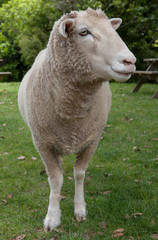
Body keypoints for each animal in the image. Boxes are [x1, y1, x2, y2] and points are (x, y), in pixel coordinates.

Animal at [17, 7, 136, 232]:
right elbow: (55, 179)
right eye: (84, 32)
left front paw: (80, 209)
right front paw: (52, 217)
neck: (71, 116)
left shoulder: (92, 139)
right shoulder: (43, 143)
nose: (130, 62)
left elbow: (79, 174)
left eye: (111, 29)